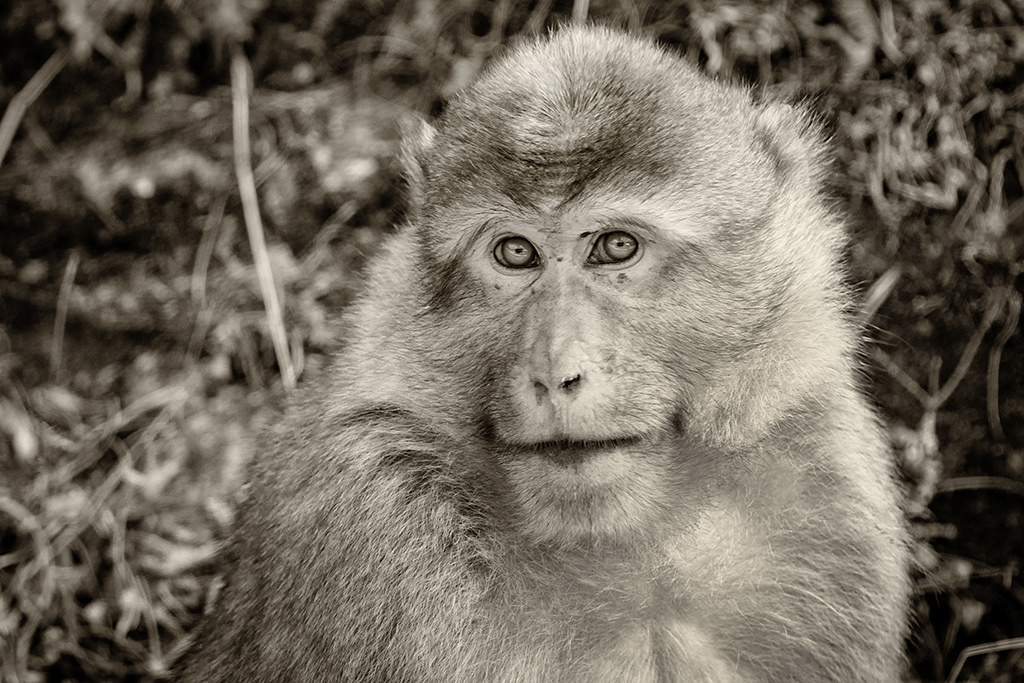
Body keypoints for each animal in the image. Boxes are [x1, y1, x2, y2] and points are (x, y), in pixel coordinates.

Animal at [176, 25, 909, 683]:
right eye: (515, 252)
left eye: (616, 246)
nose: (555, 373)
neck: (627, 550)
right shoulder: (374, 515)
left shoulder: (823, 486)